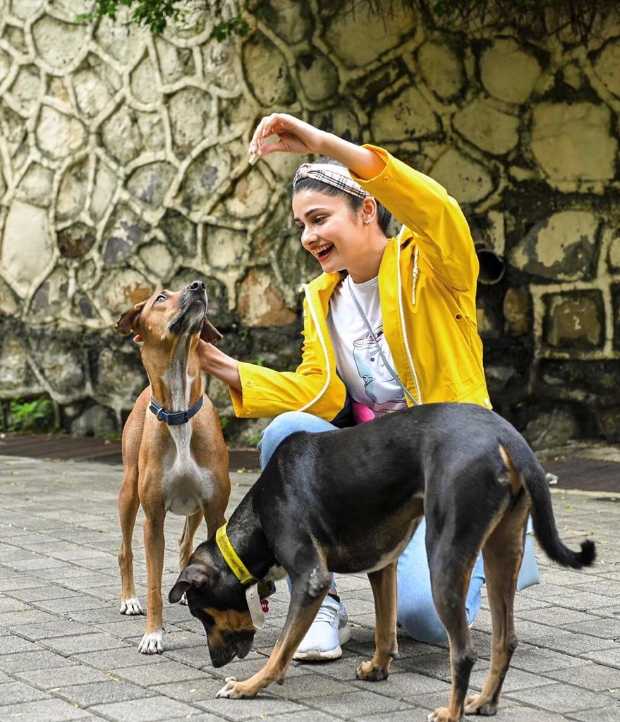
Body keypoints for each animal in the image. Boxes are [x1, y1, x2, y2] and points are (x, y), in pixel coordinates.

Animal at [114, 280, 230, 652]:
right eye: (161, 298)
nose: (199, 284)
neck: (179, 409)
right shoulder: (153, 520)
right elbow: (153, 584)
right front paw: (153, 634)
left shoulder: (215, 512)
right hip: (128, 492)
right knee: (124, 550)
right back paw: (129, 599)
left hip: (197, 509)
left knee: (184, 543)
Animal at [170, 402, 596, 716]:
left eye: (200, 612)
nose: (215, 664)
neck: (260, 512)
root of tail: (506, 436)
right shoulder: (382, 567)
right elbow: (384, 630)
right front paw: (378, 669)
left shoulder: (311, 579)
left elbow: (280, 653)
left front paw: (247, 686)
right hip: (501, 553)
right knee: (505, 640)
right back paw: (484, 703)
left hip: (444, 562)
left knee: (464, 652)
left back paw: (451, 712)